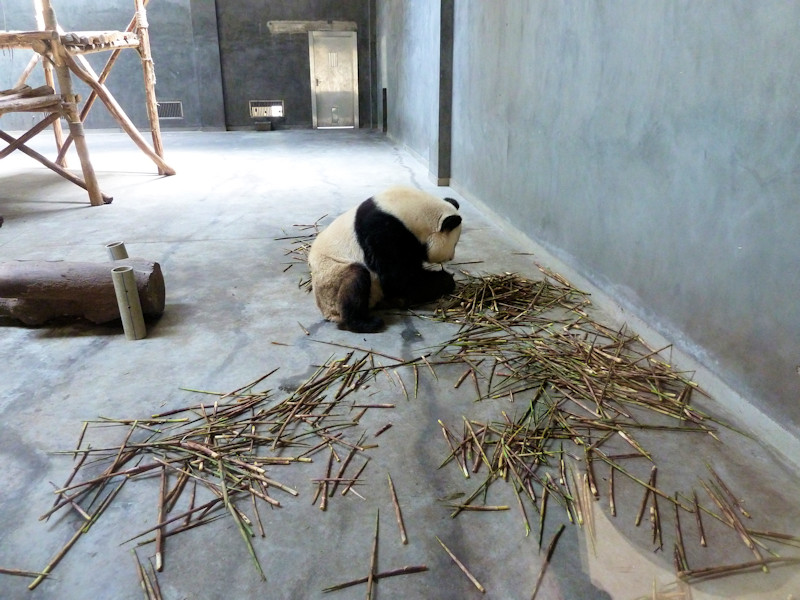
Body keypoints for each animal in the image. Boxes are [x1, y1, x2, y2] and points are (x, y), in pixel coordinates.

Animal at [308, 186, 463, 333]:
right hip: (332, 278)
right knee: (355, 281)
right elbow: (398, 278)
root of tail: (327, 312)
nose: (451, 256)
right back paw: (366, 323)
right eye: (455, 243)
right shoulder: (383, 233)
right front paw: (445, 280)